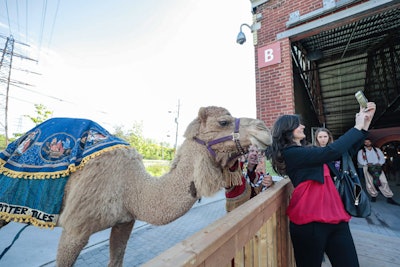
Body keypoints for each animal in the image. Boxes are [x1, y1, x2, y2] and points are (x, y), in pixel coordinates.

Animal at [0, 106, 272, 266]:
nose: (264, 129)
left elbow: (116, 259)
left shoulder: (124, 222)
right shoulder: (75, 229)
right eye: (224, 122)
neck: (131, 187)